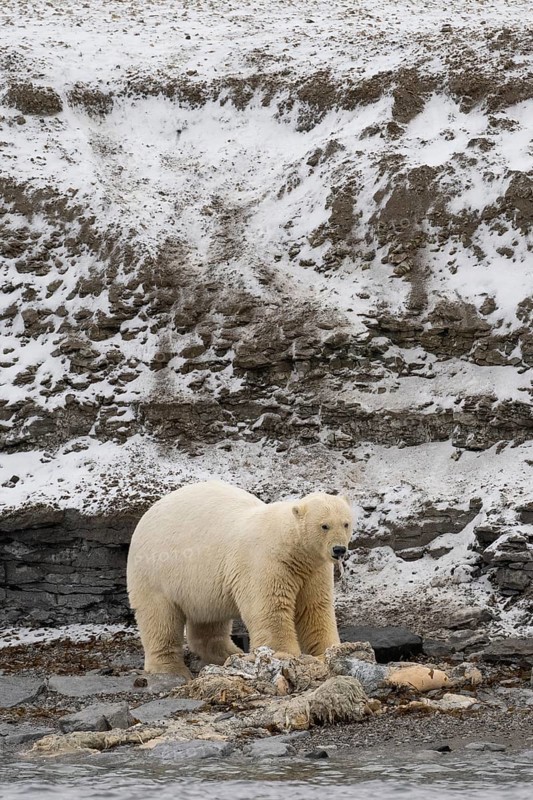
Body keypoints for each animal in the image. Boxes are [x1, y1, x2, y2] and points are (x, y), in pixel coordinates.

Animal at [127, 480, 353, 678]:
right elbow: (270, 608)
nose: (339, 549)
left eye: (346, 523)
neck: (290, 546)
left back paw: (230, 653)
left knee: (209, 622)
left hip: (203, 586)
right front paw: (283, 654)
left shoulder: (313, 569)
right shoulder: (266, 562)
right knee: (159, 618)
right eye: (324, 526)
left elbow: (314, 608)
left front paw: (329, 651)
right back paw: (170, 668)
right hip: (155, 572)